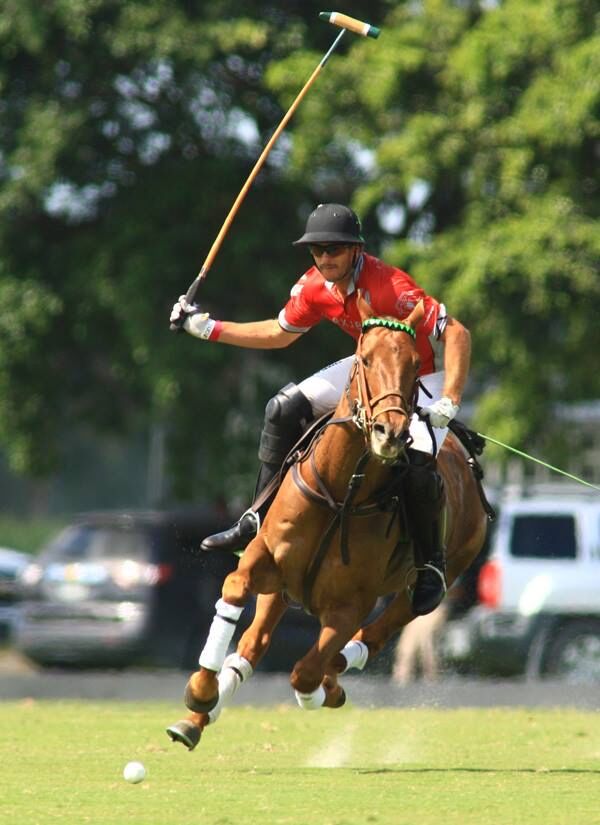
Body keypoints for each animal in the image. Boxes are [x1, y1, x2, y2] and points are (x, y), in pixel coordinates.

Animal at [168, 296, 488, 748]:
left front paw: (327, 688)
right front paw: (200, 692)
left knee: (372, 638)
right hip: (282, 590)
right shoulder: (265, 561)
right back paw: (196, 719)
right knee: (252, 644)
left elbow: (304, 674)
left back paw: (335, 676)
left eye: (413, 365)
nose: (390, 433)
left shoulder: (350, 605)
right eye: (365, 359)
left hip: (431, 583)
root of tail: (468, 459)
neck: (340, 493)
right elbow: (233, 590)